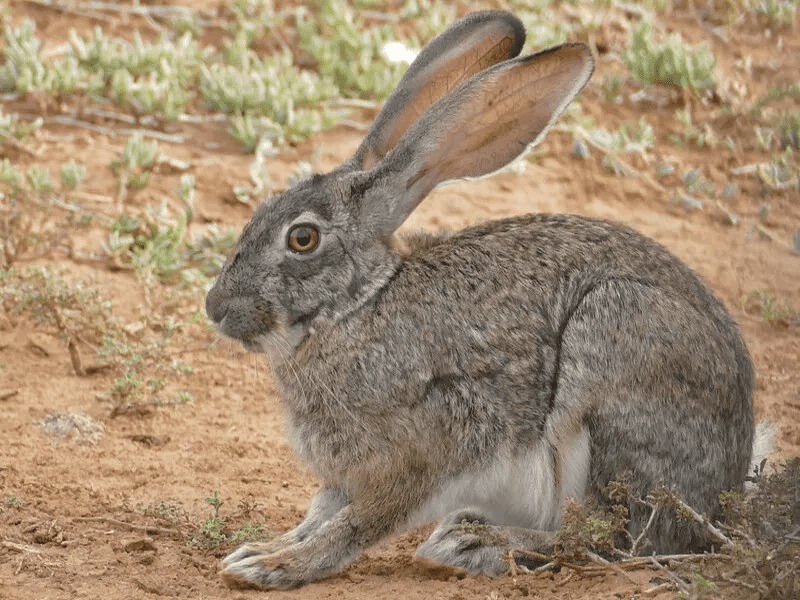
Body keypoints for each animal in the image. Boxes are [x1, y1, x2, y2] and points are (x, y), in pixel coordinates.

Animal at [205, 10, 756, 592]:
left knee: (615, 538)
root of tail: (727, 488)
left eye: (302, 238)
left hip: (611, 354)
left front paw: (275, 566)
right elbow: (319, 515)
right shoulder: (344, 478)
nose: (215, 307)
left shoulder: (425, 449)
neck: (358, 306)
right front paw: (265, 547)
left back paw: (472, 544)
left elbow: (356, 524)